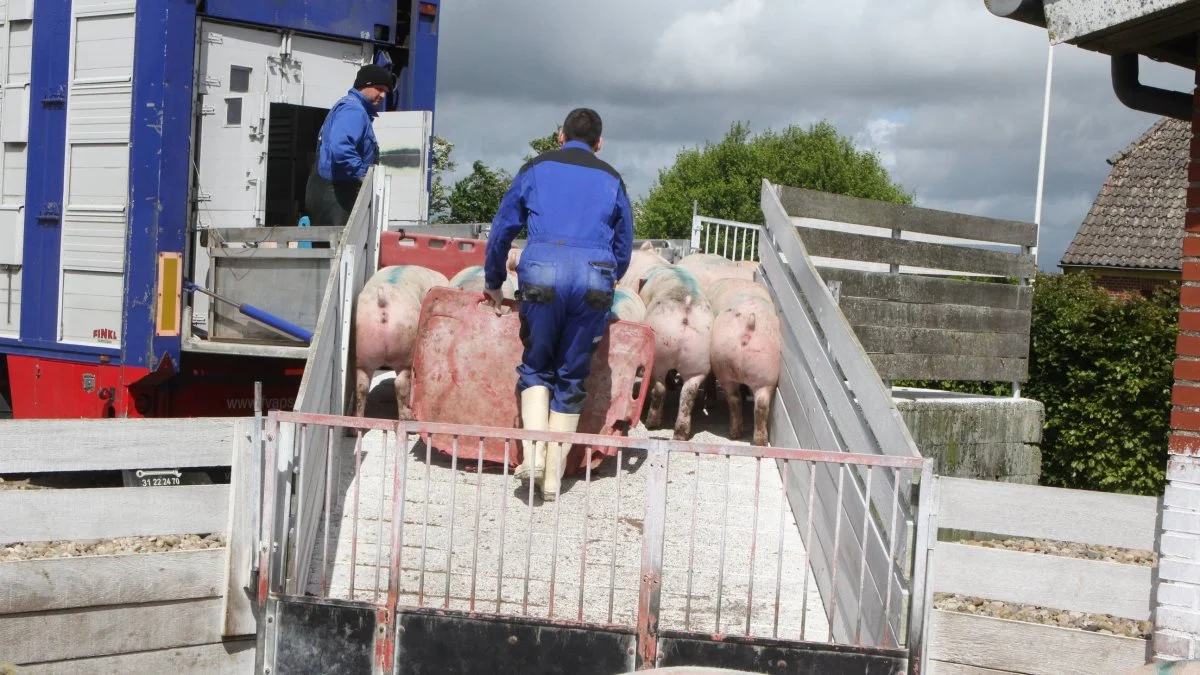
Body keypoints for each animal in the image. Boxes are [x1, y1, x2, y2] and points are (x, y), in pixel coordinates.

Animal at [357, 261, 451, 415]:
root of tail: (383, 300)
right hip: (407, 348)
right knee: (401, 383)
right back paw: (407, 415)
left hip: (363, 348)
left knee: (361, 385)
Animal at [638, 263, 710, 441]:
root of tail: (686, 312)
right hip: (698, 362)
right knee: (688, 394)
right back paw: (680, 435)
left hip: (658, 355)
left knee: (659, 388)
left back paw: (651, 424)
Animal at [705, 276, 782, 444]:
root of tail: (749, 326)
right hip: (765, 372)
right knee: (755, 403)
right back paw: (756, 440)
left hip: (725, 363)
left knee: (736, 399)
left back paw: (739, 435)